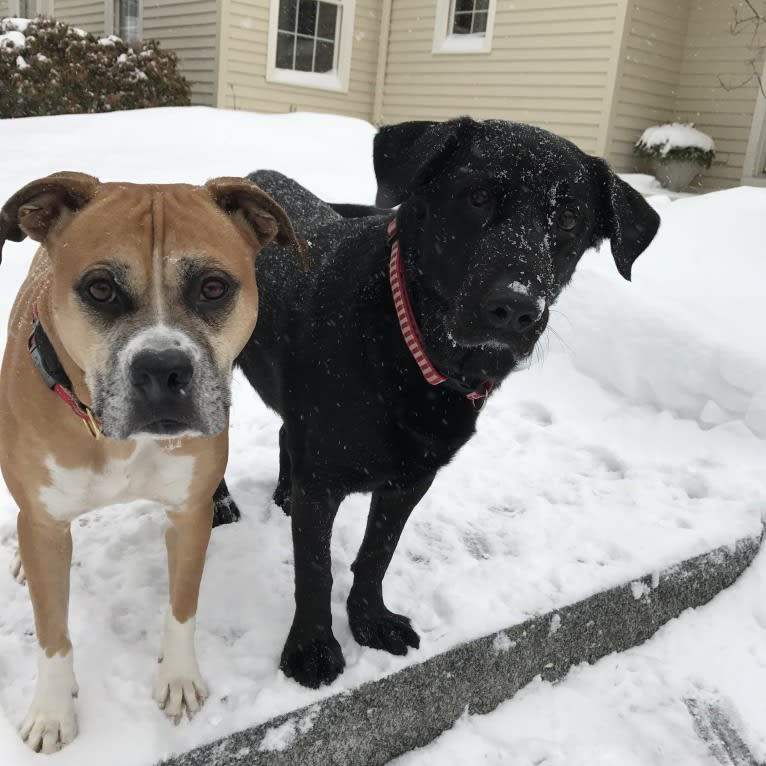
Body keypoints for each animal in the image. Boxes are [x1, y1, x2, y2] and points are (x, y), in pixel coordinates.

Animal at [0, 171, 304, 752]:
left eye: (213, 287)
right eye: (100, 289)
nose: (162, 369)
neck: (111, 434)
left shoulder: (190, 512)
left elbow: (182, 605)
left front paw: (179, 679)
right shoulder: (47, 524)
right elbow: (52, 632)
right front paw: (52, 712)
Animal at [214, 118, 660, 688]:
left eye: (567, 218)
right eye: (477, 196)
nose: (515, 307)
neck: (411, 353)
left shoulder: (413, 478)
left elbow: (377, 553)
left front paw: (370, 620)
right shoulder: (326, 478)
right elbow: (315, 569)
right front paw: (312, 649)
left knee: (284, 433)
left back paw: (284, 493)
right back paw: (221, 507)